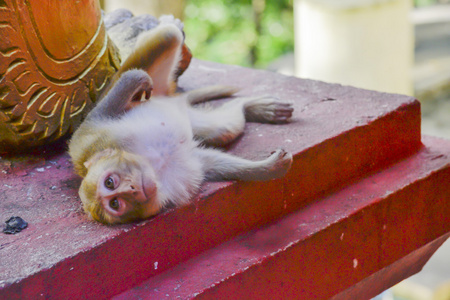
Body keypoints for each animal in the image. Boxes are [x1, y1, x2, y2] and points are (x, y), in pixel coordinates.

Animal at [68, 69, 294, 224]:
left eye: (110, 183)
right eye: (115, 203)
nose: (132, 189)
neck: (154, 167)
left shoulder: (92, 141)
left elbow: (100, 114)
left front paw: (138, 79)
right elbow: (208, 163)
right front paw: (268, 168)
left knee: (222, 128)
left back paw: (252, 105)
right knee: (223, 129)